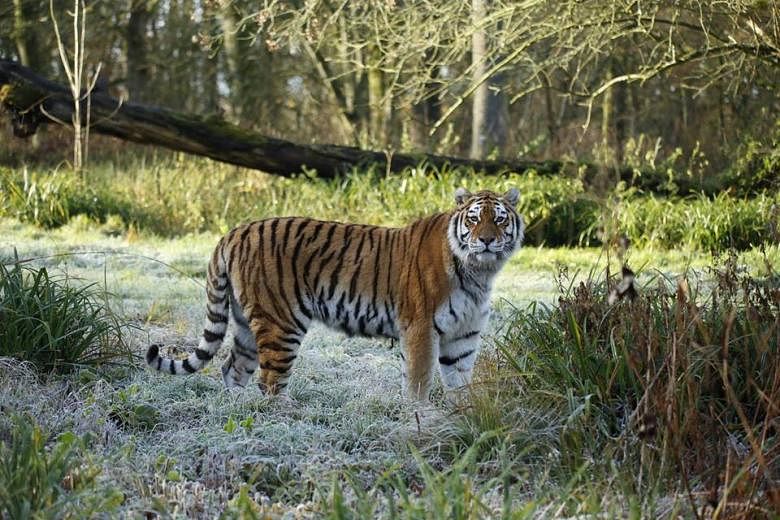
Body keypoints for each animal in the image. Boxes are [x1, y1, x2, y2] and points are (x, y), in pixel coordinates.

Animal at [146, 189, 524, 400]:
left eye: (499, 220)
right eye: (473, 219)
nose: (486, 240)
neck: (479, 272)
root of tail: (236, 231)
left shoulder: (463, 336)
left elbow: (461, 383)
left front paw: (463, 419)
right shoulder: (420, 328)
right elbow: (418, 381)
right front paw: (421, 420)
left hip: (245, 323)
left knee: (234, 369)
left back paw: (238, 411)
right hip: (281, 322)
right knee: (270, 380)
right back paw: (288, 417)